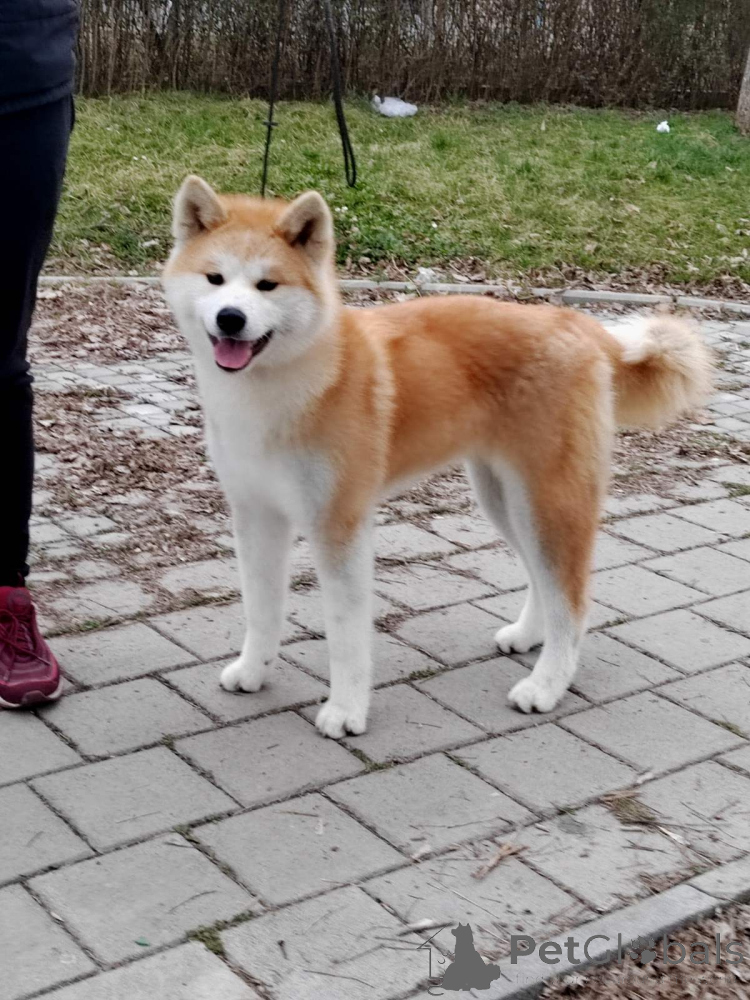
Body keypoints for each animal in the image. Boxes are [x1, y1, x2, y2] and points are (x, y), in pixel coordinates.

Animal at [163, 176, 712, 739]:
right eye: (215, 278)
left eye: (267, 286)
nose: (231, 318)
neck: (284, 388)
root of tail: (578, 325)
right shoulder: (256, 515)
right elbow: (261, 609)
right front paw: (254, 671)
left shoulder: (339, 525)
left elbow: (345, 635)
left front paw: (346, 710)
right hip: (506, 499)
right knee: (545, 579)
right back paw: (528, 635)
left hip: (549, 501)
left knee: (572, 600)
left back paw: (545, 685)